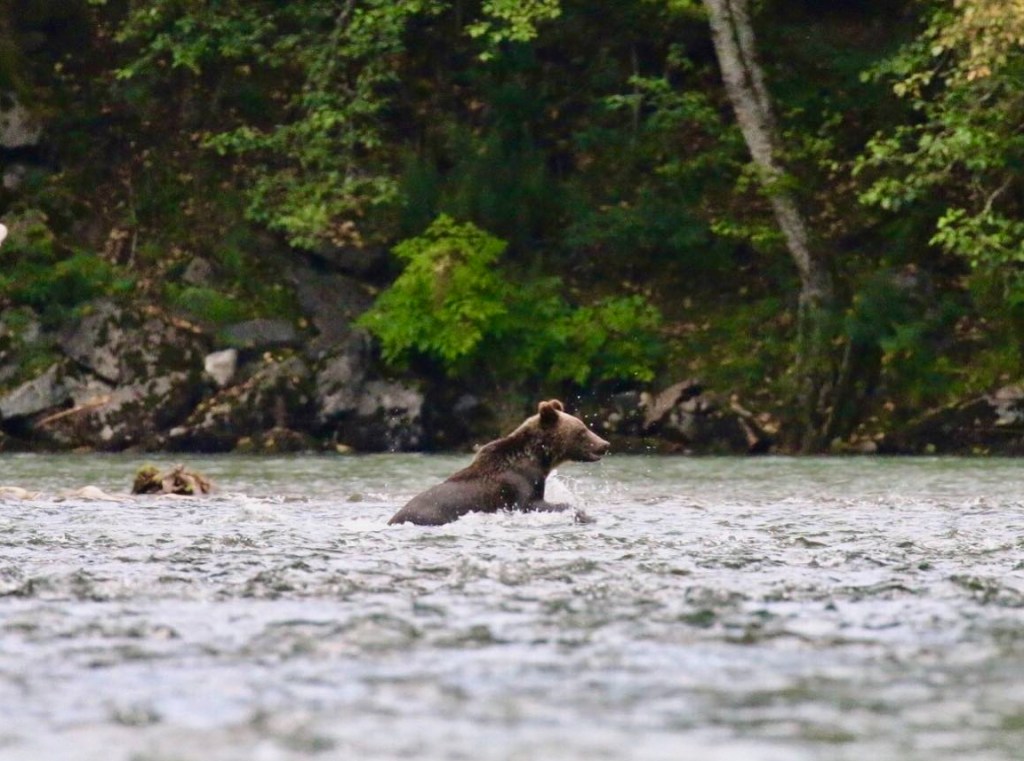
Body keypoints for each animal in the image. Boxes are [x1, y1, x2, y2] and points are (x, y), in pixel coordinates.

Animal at [387, 399, 610, 526]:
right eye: (582, 431)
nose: (604, 444)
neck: (538, 459)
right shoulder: (518, 486)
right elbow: (533, 504)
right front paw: (582, 513)